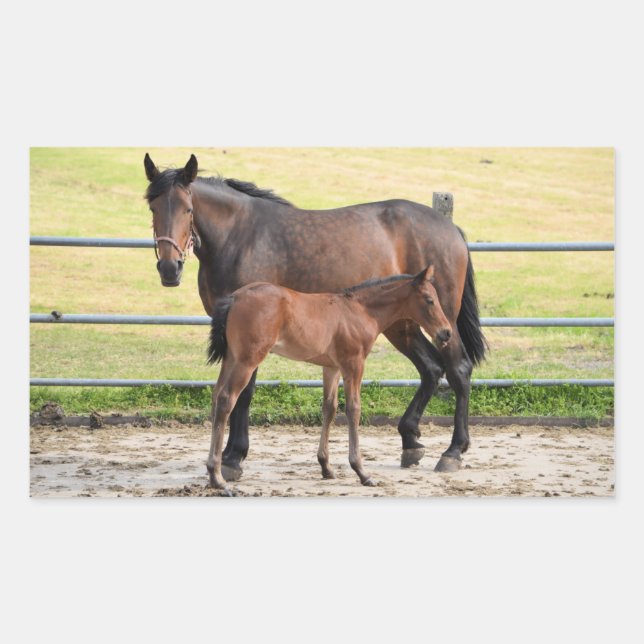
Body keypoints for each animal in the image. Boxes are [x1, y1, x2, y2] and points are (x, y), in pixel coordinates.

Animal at [205, 267, 452, 491]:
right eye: (429, 300)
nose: (447, 332)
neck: (361, 311)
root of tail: (235, 297)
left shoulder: (331, 368)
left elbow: (330, 408)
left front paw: (326, 467)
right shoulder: (354, 364)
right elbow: (354, 409)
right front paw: (361, 472)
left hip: (231, 358)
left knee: (216, 396)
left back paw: (212, 472)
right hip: (247, 361)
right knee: (227, 399)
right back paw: (217, 477)